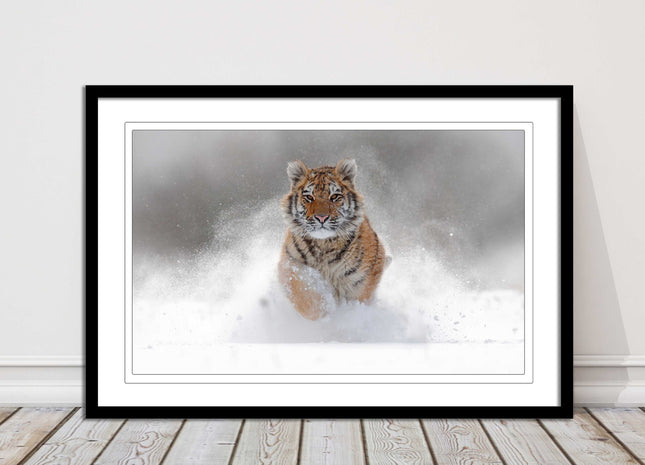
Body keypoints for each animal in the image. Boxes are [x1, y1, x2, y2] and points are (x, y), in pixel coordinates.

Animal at [278, 159, 390, 320]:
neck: (323, 244)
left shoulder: (362, 279)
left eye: (334, 196)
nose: (321, 217)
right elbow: (304, 295)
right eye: (309, 197)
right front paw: (324, 312)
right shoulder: (290, 264)